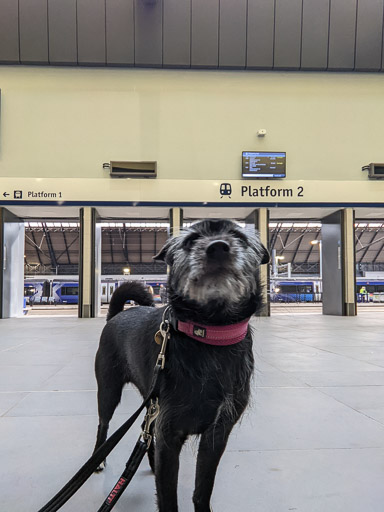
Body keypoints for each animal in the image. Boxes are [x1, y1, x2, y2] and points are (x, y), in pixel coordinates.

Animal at [94, 218, 268, 510]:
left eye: (239, 236)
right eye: (190, 240)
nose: (218, 247)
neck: (210, 334)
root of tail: (115, 316)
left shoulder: (216, 436)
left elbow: (202, 489)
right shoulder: (170, 434)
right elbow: (168, 498)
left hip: (152, 402)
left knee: (146, 434)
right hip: (108, 391)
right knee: (103, 425)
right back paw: (98, 458)